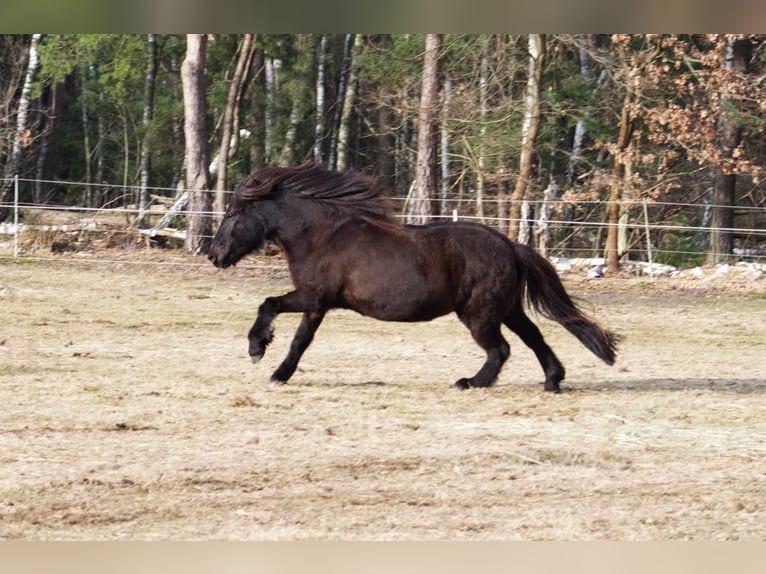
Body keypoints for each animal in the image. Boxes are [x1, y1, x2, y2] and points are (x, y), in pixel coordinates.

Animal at [207, 164, 620, 394]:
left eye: (231, 214)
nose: (214, 254)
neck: (320, 234)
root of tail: (510, 245)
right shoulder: (318, 304)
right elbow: (299, 342)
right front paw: (280, 372)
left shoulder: (314, 296)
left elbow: (270, 306)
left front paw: (258, 349)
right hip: (507, 309)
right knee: (533, 337)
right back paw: (553, 381)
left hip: (480, 314)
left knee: (500, 350)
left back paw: (470, 382)